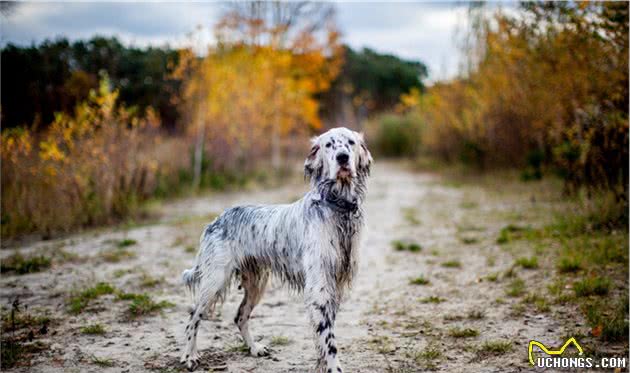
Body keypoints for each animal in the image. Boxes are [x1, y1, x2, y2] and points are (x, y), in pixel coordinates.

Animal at [180, 127, 372, 370]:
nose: (343, 158)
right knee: (193, 316)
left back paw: (254, 348)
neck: (338, 208)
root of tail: (216, 220)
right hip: (215, 280)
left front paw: (321, 365)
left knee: (240, 316)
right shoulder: (319, 286)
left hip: (256, 284)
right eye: (329, 145)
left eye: (350, 143)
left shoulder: (334, 286)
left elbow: (324, 335)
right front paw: (333, 367)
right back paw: (189, 355)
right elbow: (328, 339)